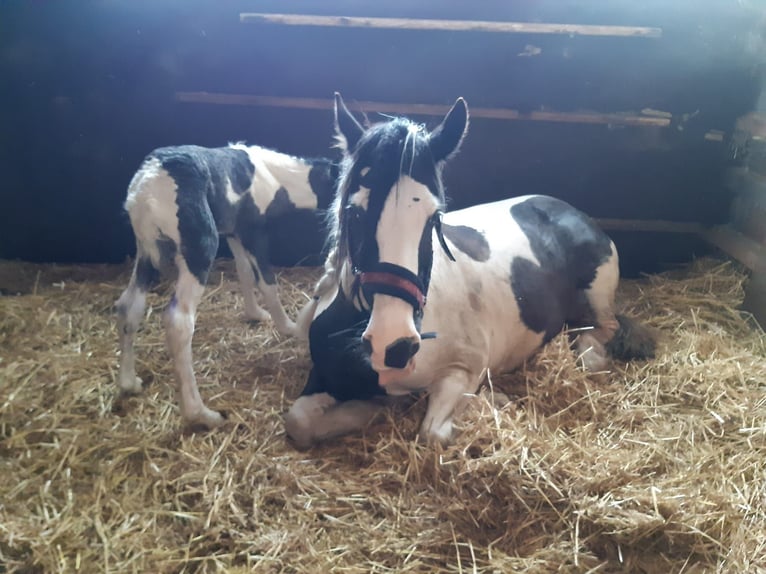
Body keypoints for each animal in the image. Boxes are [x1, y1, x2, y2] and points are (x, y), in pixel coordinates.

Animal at [116, 143, 340, 432]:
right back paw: (202, 415)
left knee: (128, 306)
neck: (271, 176)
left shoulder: (234, 232)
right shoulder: (253, 231)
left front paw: (255, 314)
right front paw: (291, 326)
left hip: (147, 251)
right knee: (178, 321)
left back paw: (128, 382)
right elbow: (266, 280)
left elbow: (244, 271)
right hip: (199, 249)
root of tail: (148, 183)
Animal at [284, 92, 656, 448]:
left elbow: (434, 433)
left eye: (434, 218)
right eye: (354, 212)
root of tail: (573, 212)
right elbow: (299, 422)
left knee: (601, 333)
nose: (394, 345)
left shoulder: (465, 368)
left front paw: (495, 401)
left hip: (597, 297)